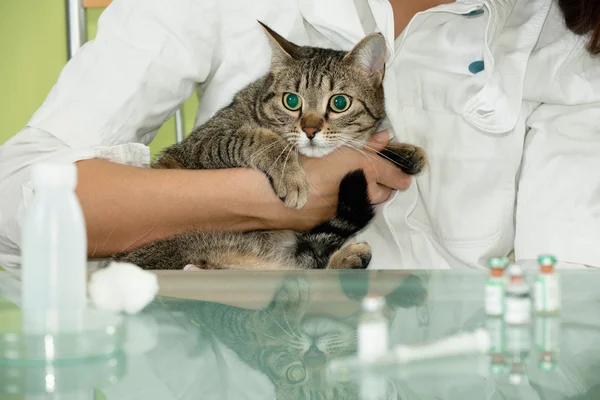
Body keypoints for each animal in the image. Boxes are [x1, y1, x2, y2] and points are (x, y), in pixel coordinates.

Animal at [113, 22, 426, 272]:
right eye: (291, 101)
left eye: (339, 102)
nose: (310, 130)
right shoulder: (204, 143)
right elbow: (261, 139)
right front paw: (292, 176)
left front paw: (403, 151)